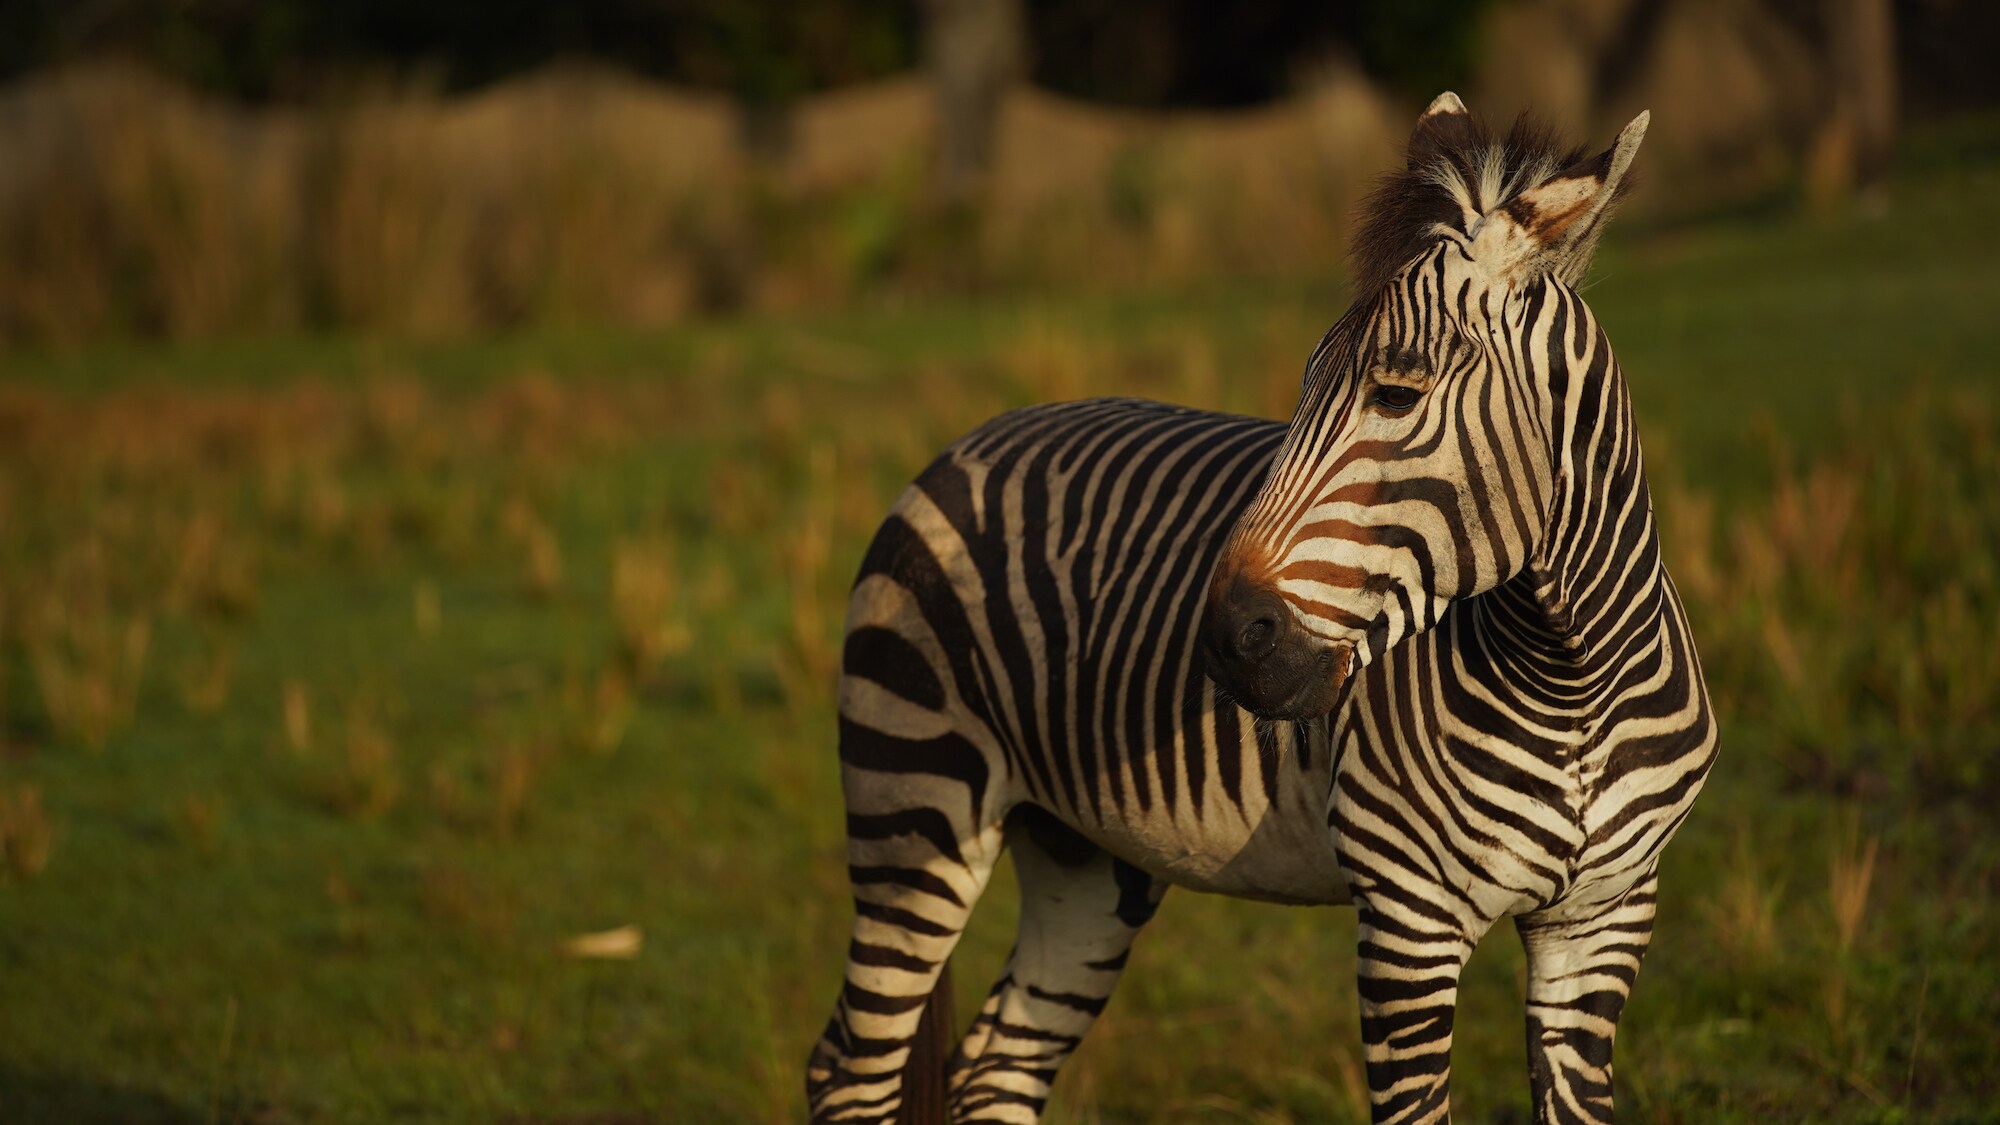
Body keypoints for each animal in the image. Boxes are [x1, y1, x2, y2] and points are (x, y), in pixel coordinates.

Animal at [808, 94, 1720, 1120]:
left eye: (1395, 392)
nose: (1225, 641)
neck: (1572, 680)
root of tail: (966, 443)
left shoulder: (1603, 917)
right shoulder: (1407, 920)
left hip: (1082, 851)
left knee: (996, 1061)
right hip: (913, 801)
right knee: (852, 1067)